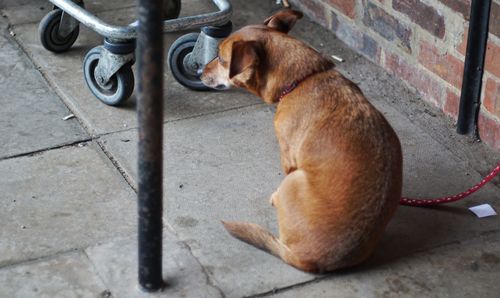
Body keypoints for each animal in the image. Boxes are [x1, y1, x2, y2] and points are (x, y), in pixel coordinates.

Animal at [200, 10, 402, 274]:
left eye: (222, 60)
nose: (198, 72)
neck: (302, 79)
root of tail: (309, 261)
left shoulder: (288, 156)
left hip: (293, 180)